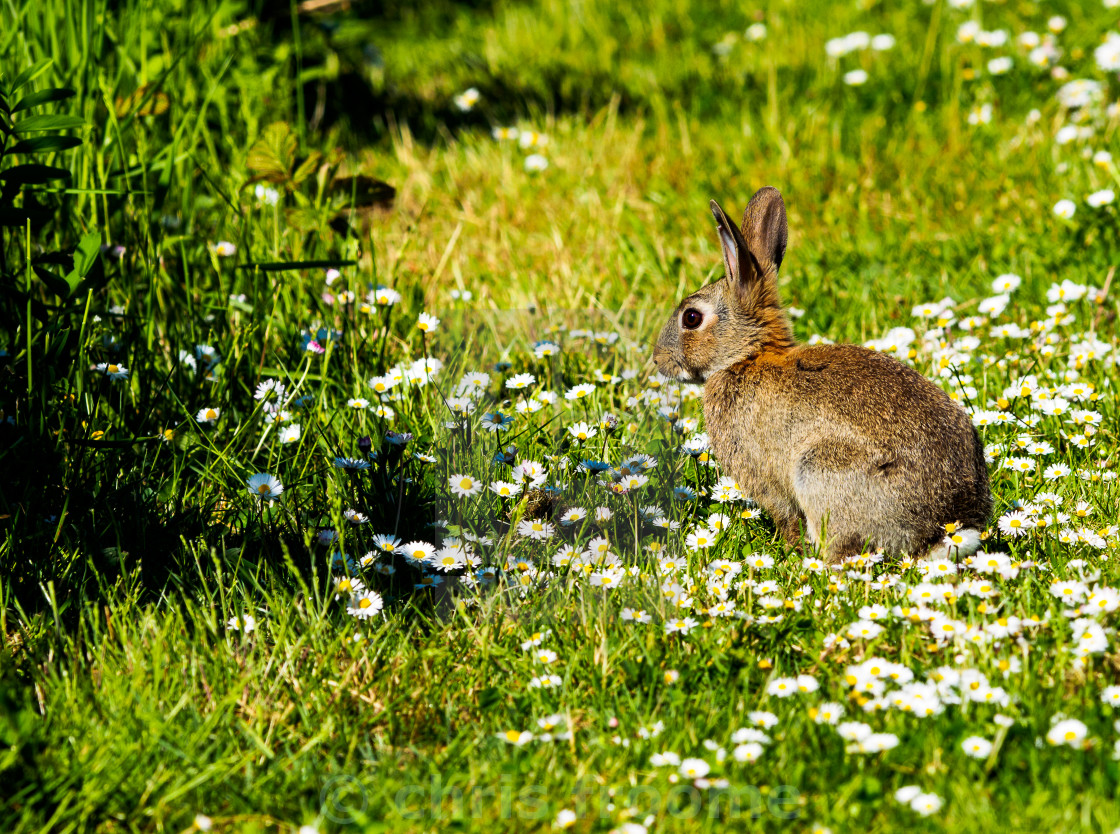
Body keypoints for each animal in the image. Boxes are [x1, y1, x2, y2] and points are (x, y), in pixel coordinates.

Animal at [654, 183, 994, 559]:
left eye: (691, 318)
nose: (658, 360)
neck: (747, 356)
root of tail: (945, 528)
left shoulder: (766, 477)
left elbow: (785, 515)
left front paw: (788, 548)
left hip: (819, 471)